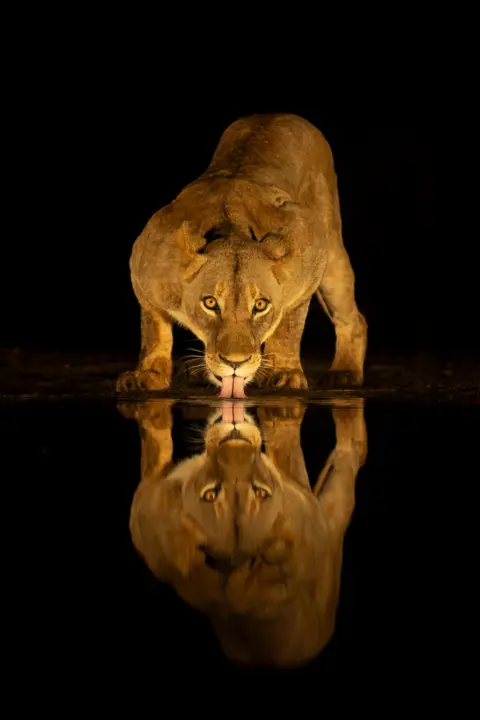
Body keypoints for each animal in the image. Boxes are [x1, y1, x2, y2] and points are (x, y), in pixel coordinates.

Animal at [117, 113, 367, 397]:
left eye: (260, 305)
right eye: (210, 303)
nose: (235, 363)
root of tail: (278, 113)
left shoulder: (309, 250)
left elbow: (288, 326)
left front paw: (285, 373)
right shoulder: (145, 271)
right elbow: (154, 330)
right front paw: (148, 375)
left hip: (332, 251)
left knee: (354, 319)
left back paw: (344, 372)